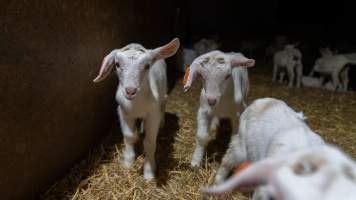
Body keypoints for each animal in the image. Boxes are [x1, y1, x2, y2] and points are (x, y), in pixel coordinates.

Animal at [93, 38, 179, 180]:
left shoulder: (153, 115)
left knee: (164, 101)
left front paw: (149, 172)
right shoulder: (123, 112)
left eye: (147, 66)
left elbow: (149, 142)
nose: (130, 91)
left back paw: (162, 123)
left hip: (162, 92)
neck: (136, 104)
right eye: (117, 64)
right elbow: (129, 136)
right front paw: (128, 161)